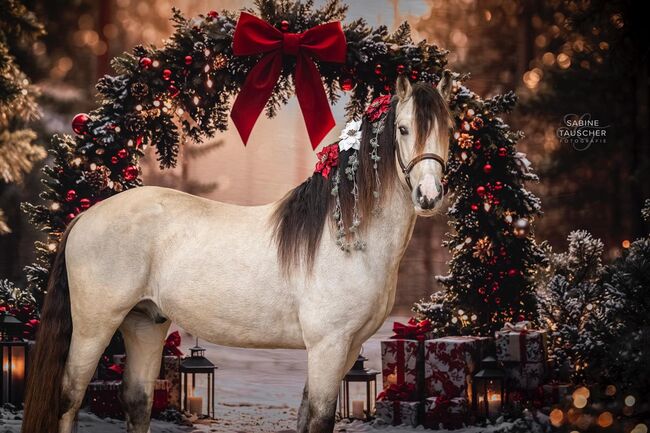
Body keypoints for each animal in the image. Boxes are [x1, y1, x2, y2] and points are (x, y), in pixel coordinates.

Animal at [21, 74, 453, 433]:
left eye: (448, 130)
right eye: (403, 128)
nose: (429, 196)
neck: (344, 237)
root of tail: (84, 215)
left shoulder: (347, 350)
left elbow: (305, 416)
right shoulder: (327, 347)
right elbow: (320, 419)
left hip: (145, 323)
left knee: (138, 402)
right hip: (94, 326)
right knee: (69, 399)